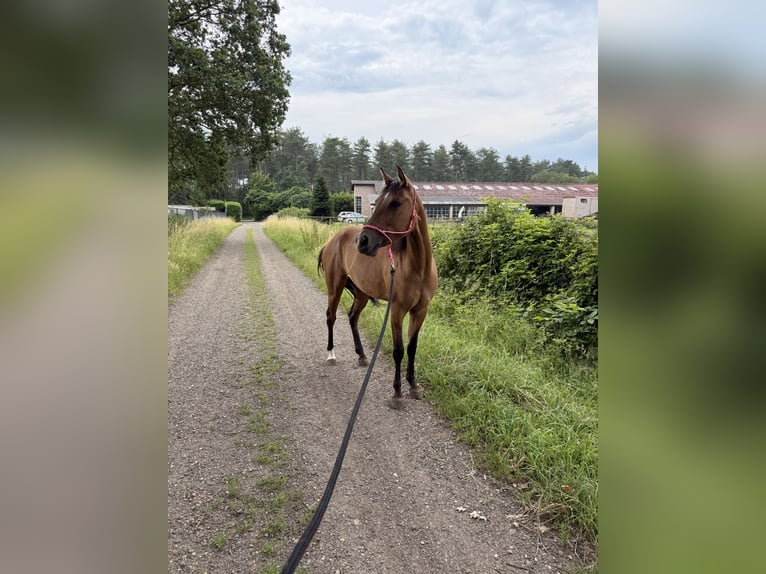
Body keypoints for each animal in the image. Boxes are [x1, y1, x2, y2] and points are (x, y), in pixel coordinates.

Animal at [317, 166, 438, 404]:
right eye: (378, 201)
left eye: (395, 203)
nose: (363, 241)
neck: (419, 267)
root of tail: (332, 240)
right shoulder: (397, 310)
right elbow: (398, 350)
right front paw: (397, 392)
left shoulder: (421, 310)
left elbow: (412, 347)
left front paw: (413, 386)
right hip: (335, 288)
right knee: (331, 317)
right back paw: (331, 354)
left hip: (362, 292)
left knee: (352, 317)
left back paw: (362, 356)